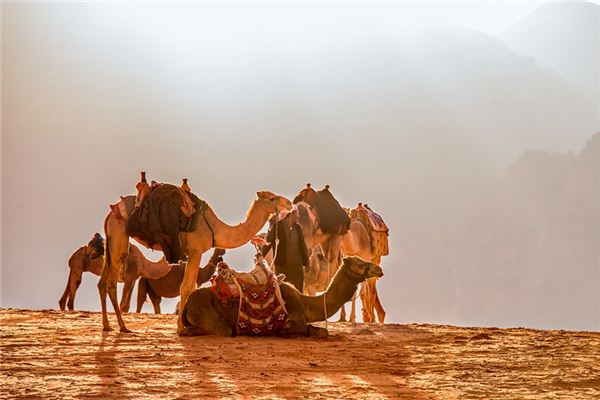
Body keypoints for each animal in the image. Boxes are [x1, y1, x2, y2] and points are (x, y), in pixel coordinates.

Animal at [180, 255, 382, 336]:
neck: (305, 304)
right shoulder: (292, 321)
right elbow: (320, 332)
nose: (378, 269)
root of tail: (188, 304)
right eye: (359, 264)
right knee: (222, 330)